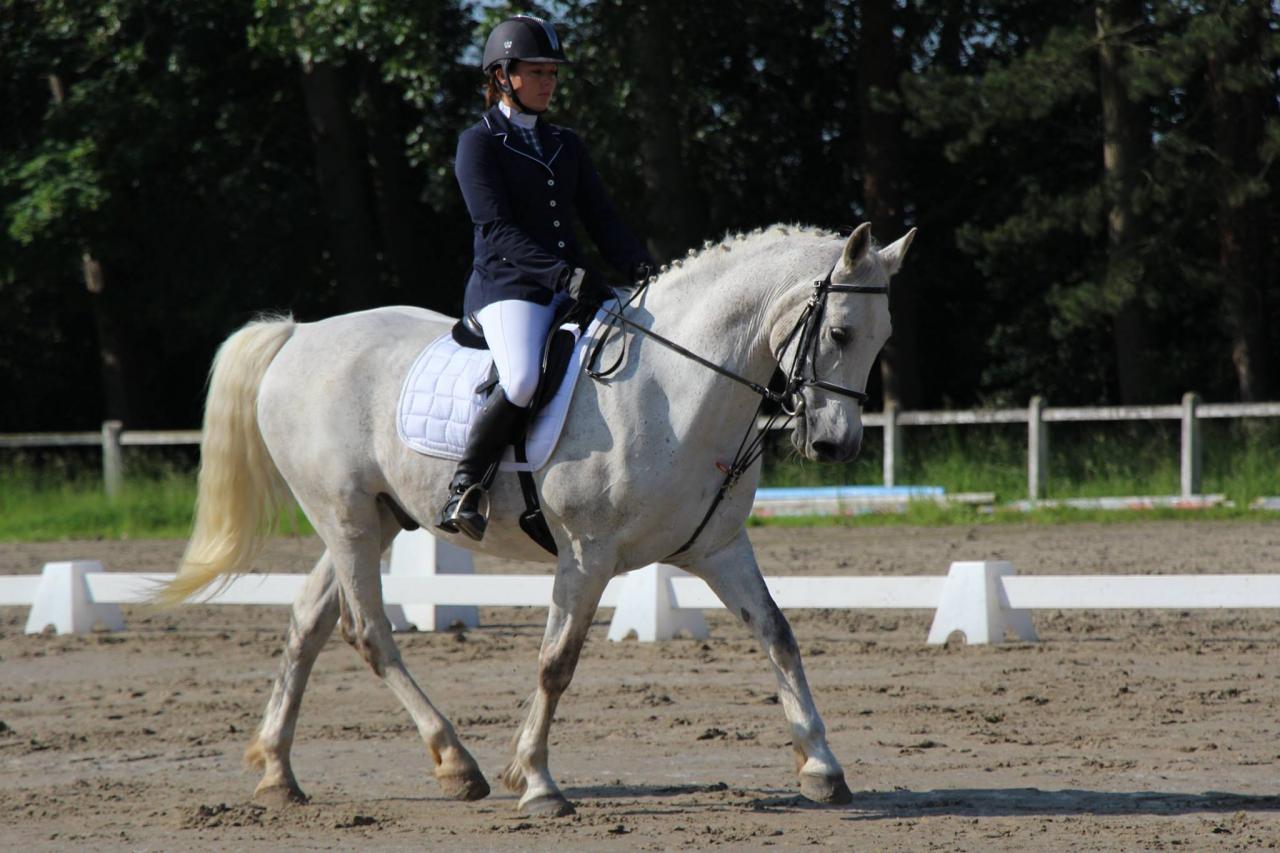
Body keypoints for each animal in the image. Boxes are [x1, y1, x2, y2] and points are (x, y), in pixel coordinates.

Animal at [160, 222, 916, 814]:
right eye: (840, 331)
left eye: (884, 338)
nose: (837, 445)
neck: (680, 392)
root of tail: (298, 335)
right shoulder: (588, 553)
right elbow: (557, 662)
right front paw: (538, 782)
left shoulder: (718, 547)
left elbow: (778, 635)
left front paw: (822, 767)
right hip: (342, 517)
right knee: (367, 630)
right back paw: (454, 762)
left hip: (376, 519)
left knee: (307, 624)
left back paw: (279, 773)